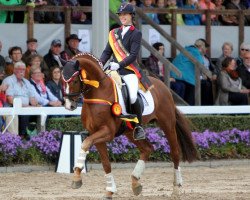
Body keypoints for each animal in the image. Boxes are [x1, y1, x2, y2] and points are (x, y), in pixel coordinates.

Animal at [61, 52, 197, 199]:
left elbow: (85, 143)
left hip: (167, 124)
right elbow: (105, 163)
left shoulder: (107, 132)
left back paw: (176, 188)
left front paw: (76, 177)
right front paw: (109, 191)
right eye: (63, 81)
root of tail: (163, 86)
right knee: (147, 148)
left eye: (74, 81)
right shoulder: (95, 134)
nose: (69, 105)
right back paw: (135, 182)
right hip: (130, 132)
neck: (99, 92)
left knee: (175, 152)